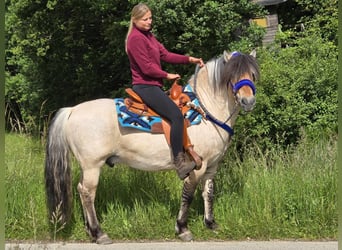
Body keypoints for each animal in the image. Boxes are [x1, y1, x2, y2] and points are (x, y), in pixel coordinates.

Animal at [44, 50, 260, 244]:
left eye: (252, 74)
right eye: (232, 75)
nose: (248, 101)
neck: (205, 112)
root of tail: (72, 110)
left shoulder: (212, 167)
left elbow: (208, 193)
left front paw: (210, 223)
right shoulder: (198, 166)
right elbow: (188, 194)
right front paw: (182, 228)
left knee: (82, 191)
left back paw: (90, 231)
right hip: (92, 166)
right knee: (87, 192)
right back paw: (99, 233)